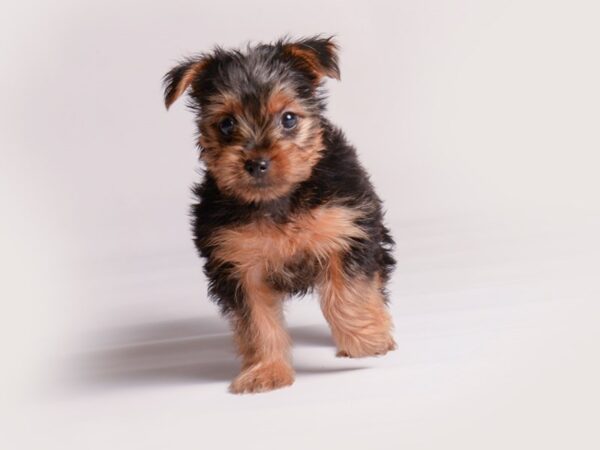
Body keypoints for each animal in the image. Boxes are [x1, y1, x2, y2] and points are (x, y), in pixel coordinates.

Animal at [165, 36, 398, 394]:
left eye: (289, 119)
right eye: (226, 124)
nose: (257, 162)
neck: (277, 200)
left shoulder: (347, 229)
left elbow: (348, 292)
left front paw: (365, 340)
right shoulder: (236, 264)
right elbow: (257, 322)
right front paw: (266, 372)